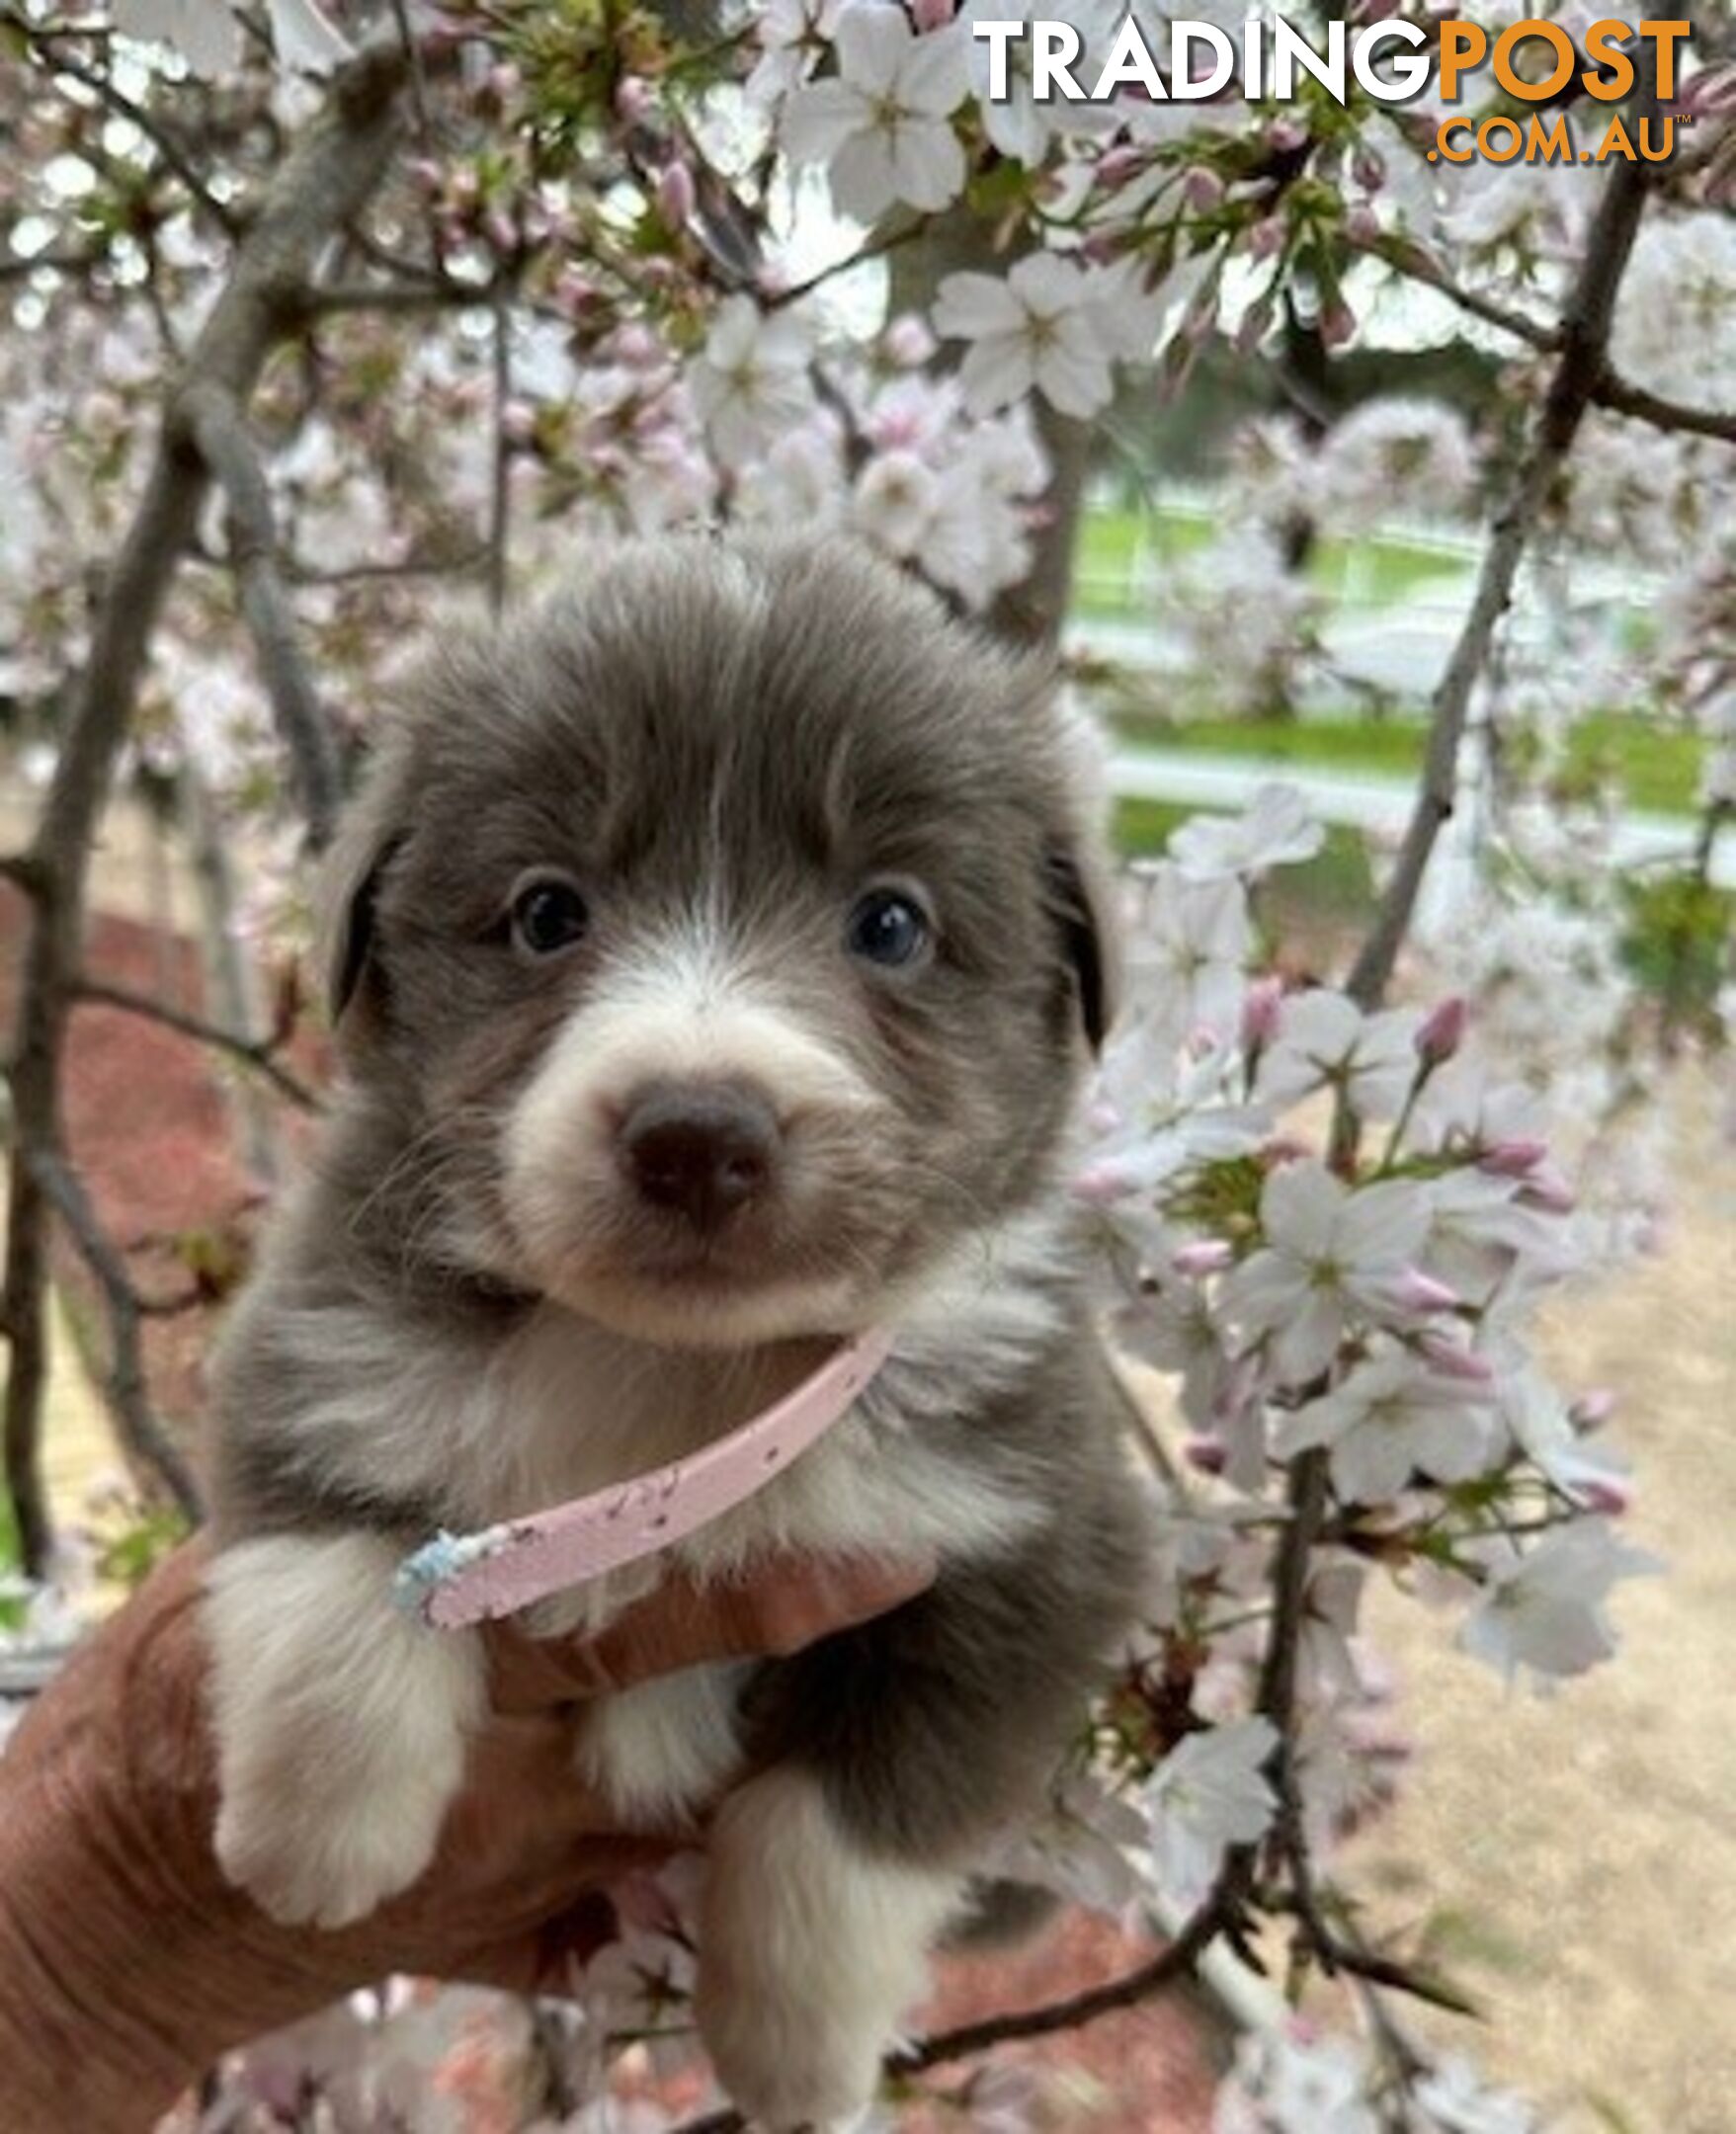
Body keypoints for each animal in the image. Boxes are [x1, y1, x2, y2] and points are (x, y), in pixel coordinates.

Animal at [206, 537, 1153, 2134]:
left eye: (890, 922)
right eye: (546, 911)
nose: (697, 1134)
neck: (673, 1373)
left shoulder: (1038, 1533)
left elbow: (845, 1819)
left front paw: (796, 2050)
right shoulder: (313, 1333)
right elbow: (342, 1551)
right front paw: (313, 1844)